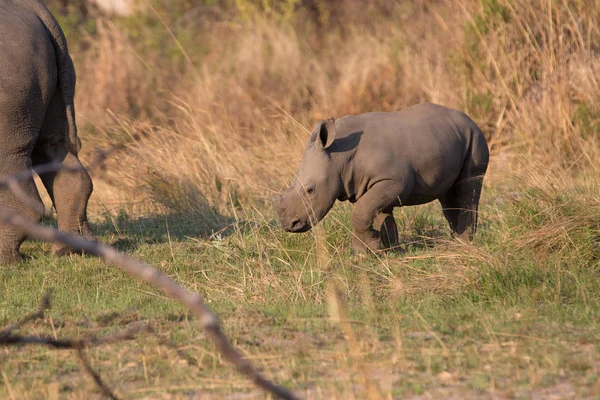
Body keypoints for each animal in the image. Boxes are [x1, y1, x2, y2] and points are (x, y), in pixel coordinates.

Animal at [274, 102, 490, 253]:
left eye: (310, 190)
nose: (289, 225)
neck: (338, 156)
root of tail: (468, 118)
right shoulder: (366, 184)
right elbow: (375, 214)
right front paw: (384, 251)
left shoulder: (393, 181)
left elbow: (361, 213)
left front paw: (368, 250)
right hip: (450, 138)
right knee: (448, 194)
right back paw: (454, 240)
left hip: (475, 136)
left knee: (468, 186)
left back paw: (463, 243)